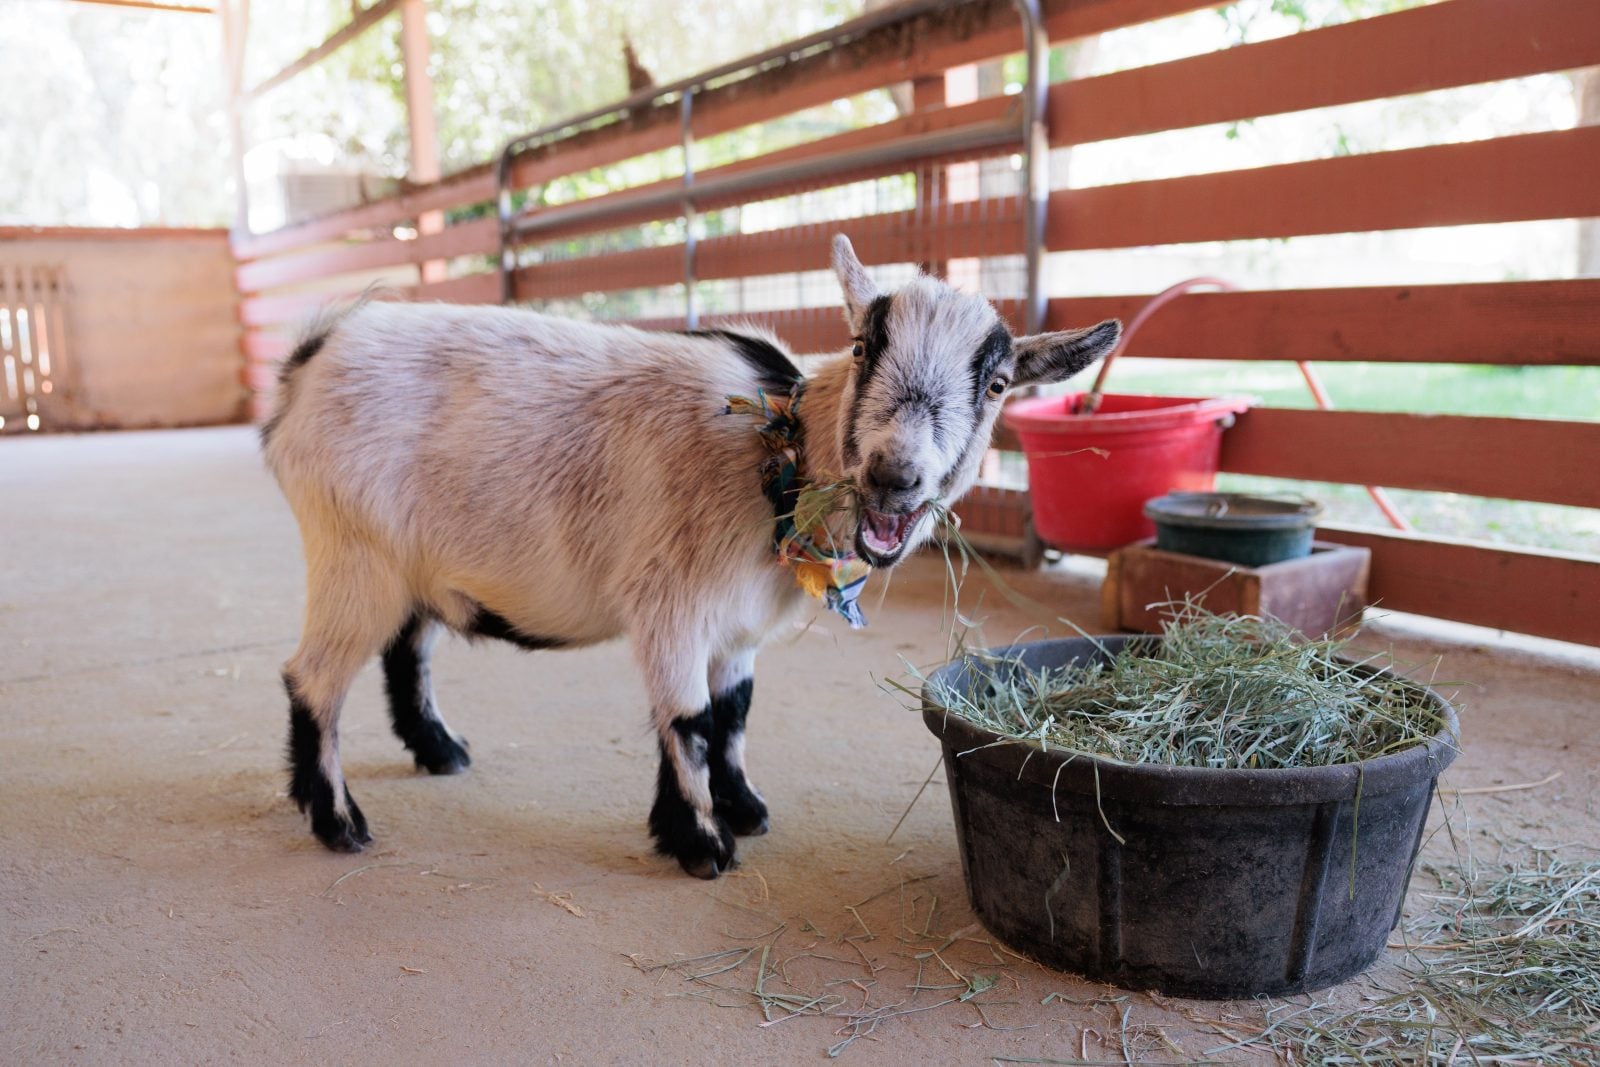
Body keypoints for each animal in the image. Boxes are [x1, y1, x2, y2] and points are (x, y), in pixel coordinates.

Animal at [262, 235, 1120, 878]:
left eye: (998, 383)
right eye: (863, 345)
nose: (894, 472)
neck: (779, 447)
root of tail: (308, 360)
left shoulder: (735, 628)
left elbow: (732, 713)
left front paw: (742, 806)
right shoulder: (670, 606)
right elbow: (689, 718)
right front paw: (701, 842)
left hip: (408, 563)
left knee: (407, 649)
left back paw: (438, 750)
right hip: (354, 555)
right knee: (313, 677)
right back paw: (336, 819)